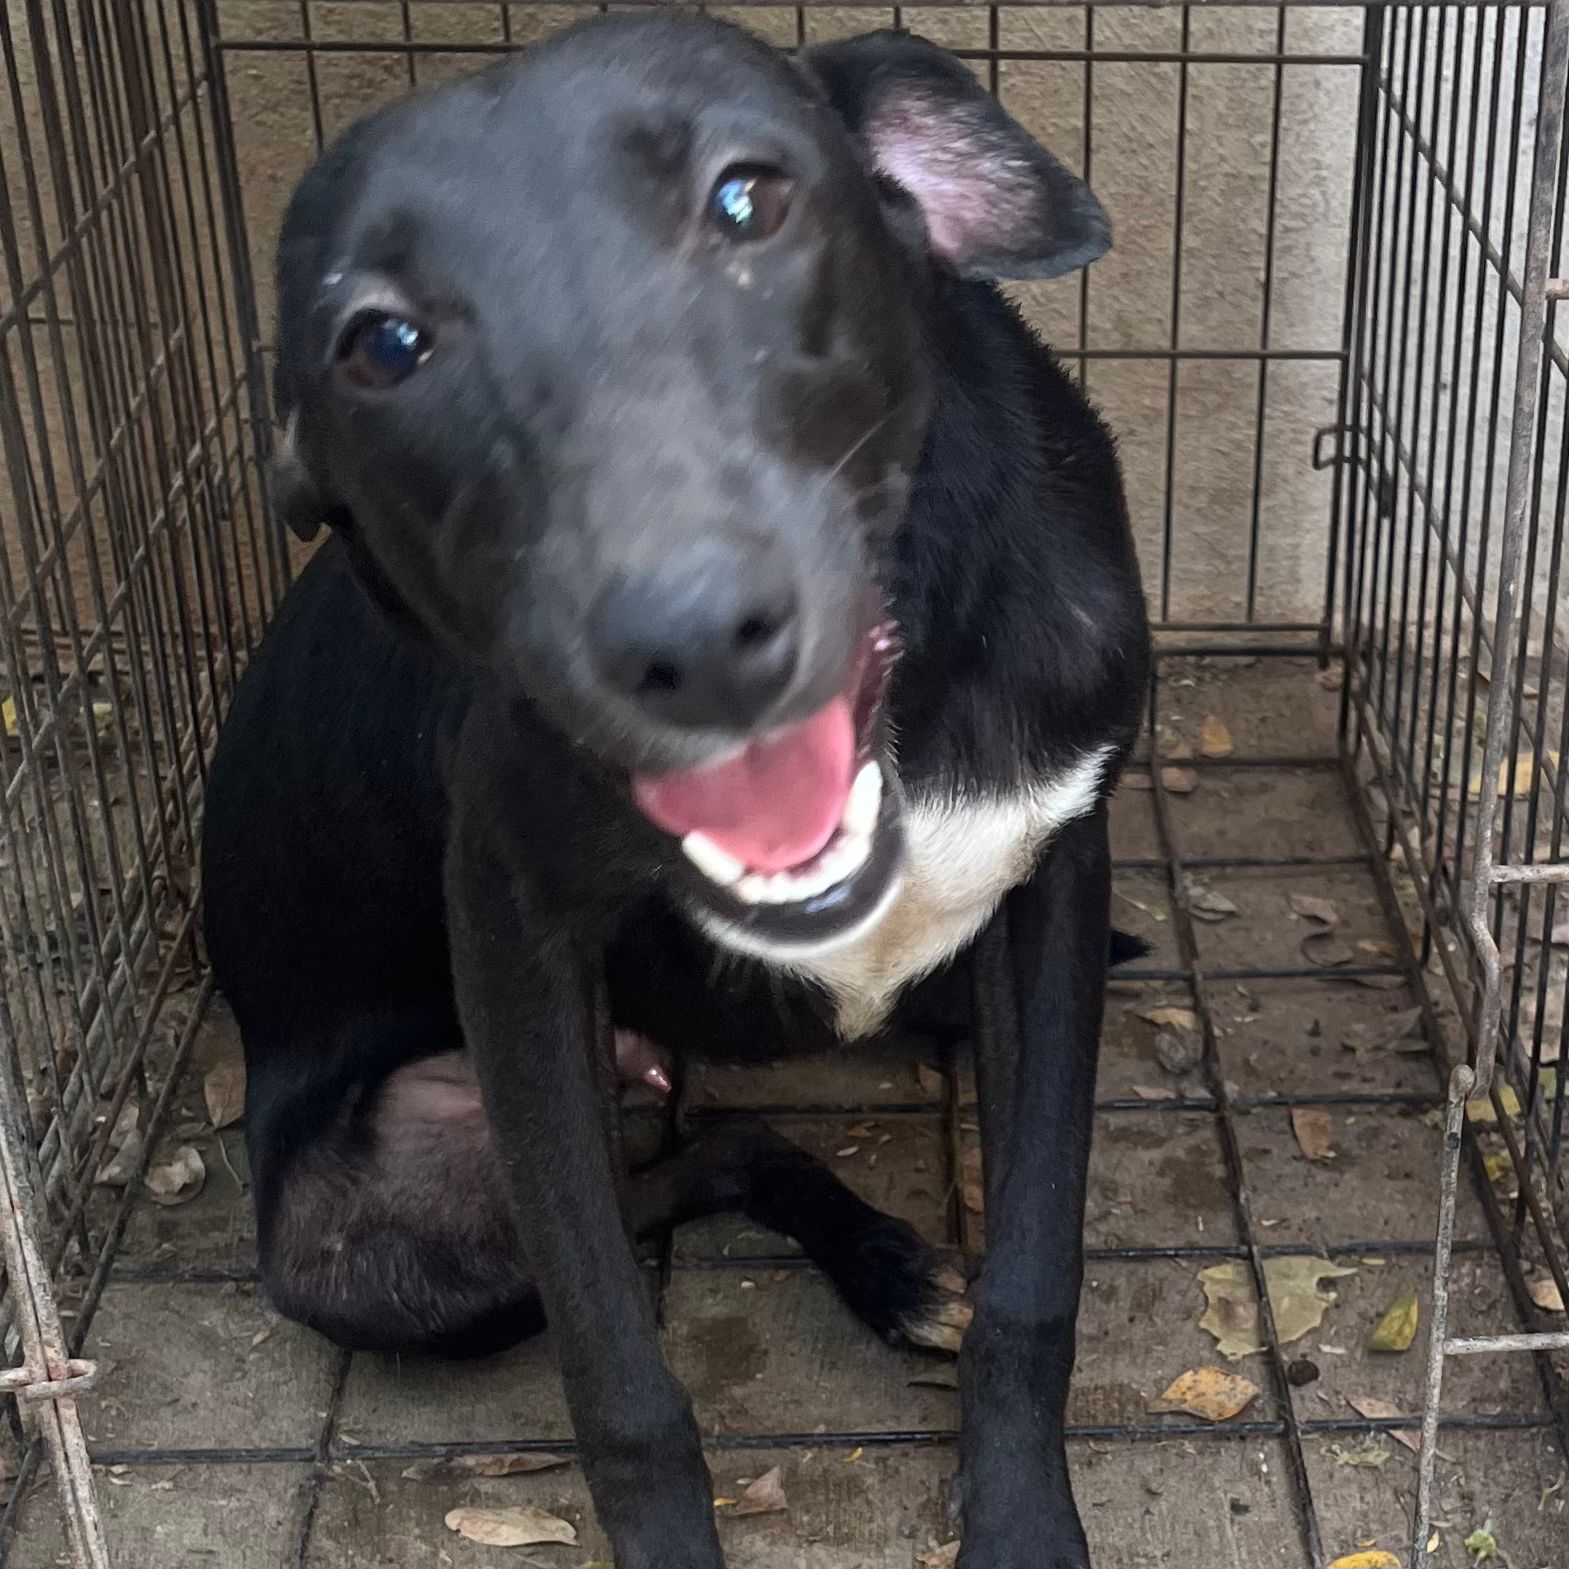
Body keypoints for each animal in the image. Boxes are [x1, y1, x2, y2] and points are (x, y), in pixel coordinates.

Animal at [201, 16, 1149, 1567]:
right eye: (382, 344)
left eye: (747, 199)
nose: (690, 636)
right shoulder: (515, 947)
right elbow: (616, 1370)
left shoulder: (1056, 871)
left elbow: (1034, 1271)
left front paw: (1017, 1519)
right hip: (372, 1238)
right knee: (685, 1162)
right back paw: (883, 1262)